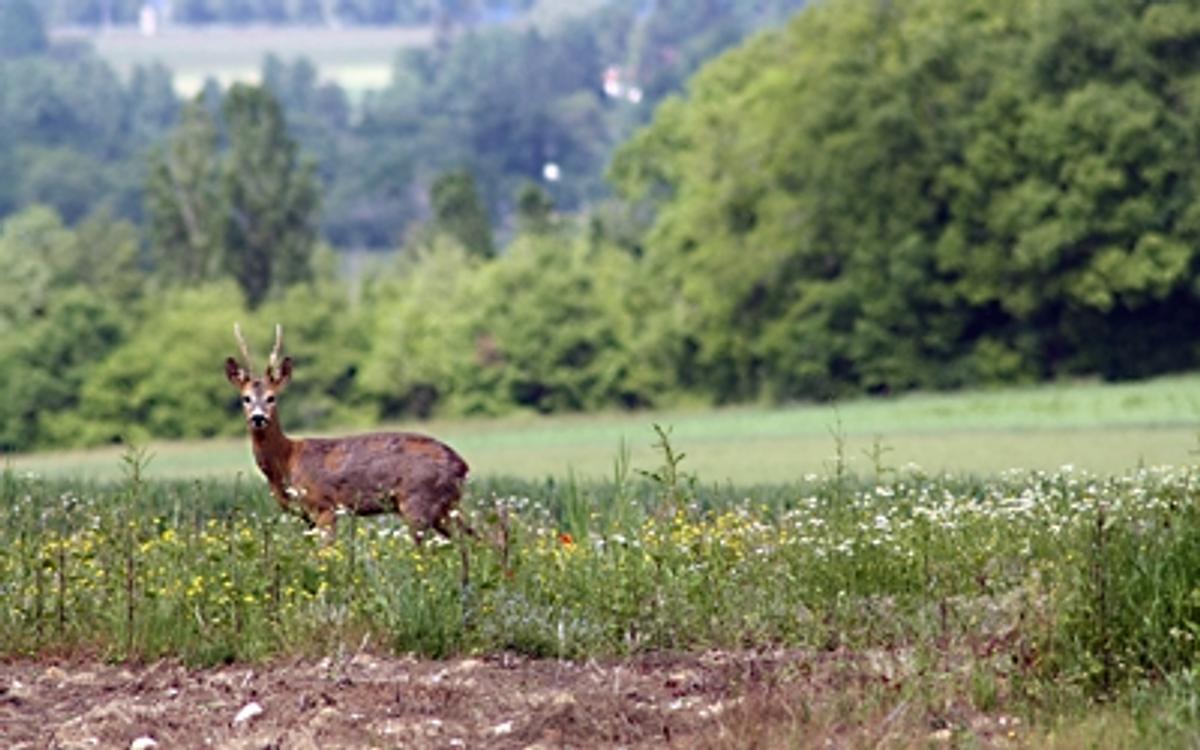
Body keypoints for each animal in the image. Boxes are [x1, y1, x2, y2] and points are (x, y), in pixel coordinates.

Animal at [224, 323, 471, 546]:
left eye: (271, 397)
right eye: (245, 398)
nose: (258, 417)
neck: (286, 461)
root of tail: (461, 465)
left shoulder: (324, 505)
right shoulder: (306, 517)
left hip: (418, 501)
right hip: (446, 506)